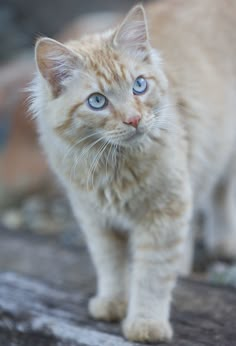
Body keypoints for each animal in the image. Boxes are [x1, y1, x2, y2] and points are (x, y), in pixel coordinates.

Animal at [30, 0, 236, 344]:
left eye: (139, 85)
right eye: (97, 101)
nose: (134, 120)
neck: (113, 165)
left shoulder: (163, 213)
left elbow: (151, 276)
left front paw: (145, 324)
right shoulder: (95, 218)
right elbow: (110, 266)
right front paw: (113, 302)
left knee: (222, 196)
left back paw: (223, 243)